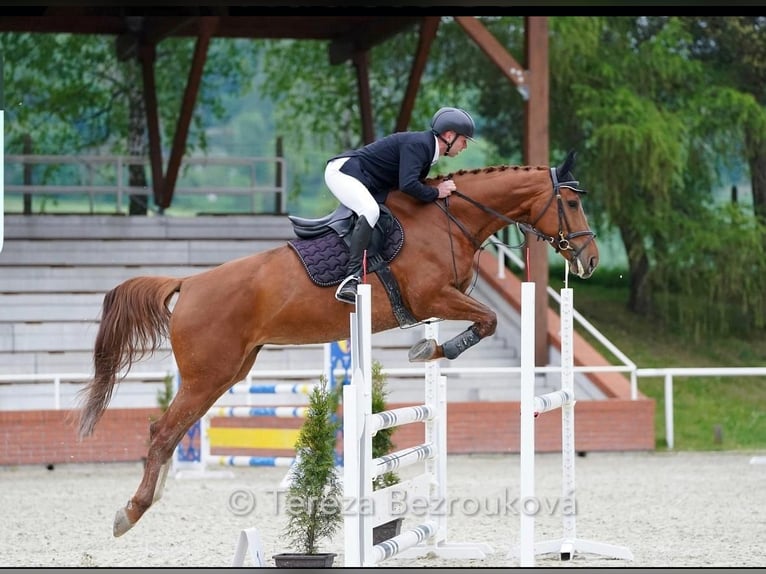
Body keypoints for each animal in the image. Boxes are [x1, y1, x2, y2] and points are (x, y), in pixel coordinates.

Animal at [75, 150, 600, 540]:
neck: (450, 219)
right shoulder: (433, 296)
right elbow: (488, 320)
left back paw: (152, 496)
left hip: (227, 374)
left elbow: (482, 321)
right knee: (162, 432)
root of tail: (188, 283)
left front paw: (429, 350)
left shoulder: (441, 301)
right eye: (572, 204)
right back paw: (131, 512)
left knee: (170, 432)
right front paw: (432, 352)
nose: (591, 259)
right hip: (208, 375)